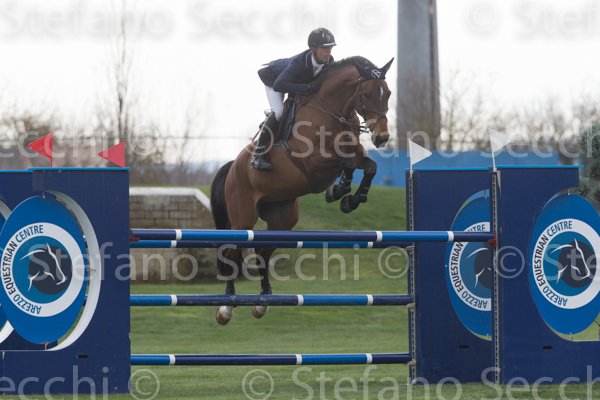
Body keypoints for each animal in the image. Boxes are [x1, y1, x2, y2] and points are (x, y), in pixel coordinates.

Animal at [210, 56, 393, 325]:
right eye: (366, 93)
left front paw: (349, 199)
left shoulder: (356, 154)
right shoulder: (313, 163)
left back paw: (263, 301)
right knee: (233, 254)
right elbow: (346, 162)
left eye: (387, 93)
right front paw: (339, 191)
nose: (382, 138)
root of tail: (233, 167)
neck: (333, 112)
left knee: (262, 253)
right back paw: (226, 307)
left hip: (282, 219)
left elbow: (369, 166)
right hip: (243, 217)